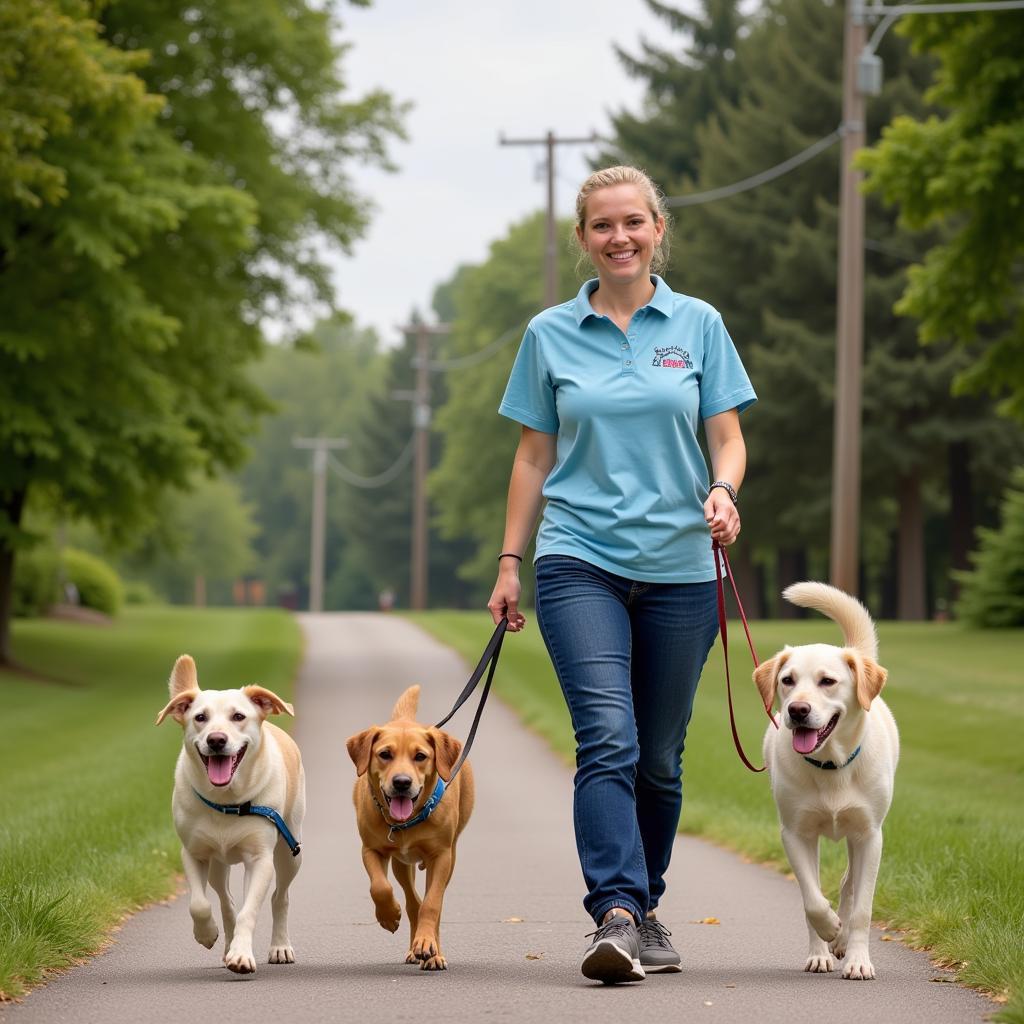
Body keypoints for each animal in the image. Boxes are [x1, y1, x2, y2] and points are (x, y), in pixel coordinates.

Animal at [151, 655, 303, 974]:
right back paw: (226, 941)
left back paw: (279, 946)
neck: (228, 801)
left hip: (290, 850)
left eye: (238, 716)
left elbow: (250, 910)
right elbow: (199, 904)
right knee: (225, 900)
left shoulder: (259, 859)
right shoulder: (193, 853)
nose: (217, 740)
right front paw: (207, 934)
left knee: (280, 896)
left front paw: (242, 955)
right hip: (217, 865)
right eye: (200, 717)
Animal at [344, 688, 471, 966]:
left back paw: (431, 950)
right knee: (413, 902)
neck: (407, 821)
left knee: (430, 902)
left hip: (451, 856)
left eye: (420, 756)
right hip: (402, 864)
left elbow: (433, 903)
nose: (402, 782)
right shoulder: (371, 850)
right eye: (385, 754)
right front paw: (389, 915)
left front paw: (427, 945)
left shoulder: (442, 855)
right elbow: (380, 887)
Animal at [753, 585, 897, 974]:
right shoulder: (795, 834)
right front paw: (828, 931)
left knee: (849, 884)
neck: (831, 766)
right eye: (787, 680)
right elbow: (812, 899)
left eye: (827, 681)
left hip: (857, 836)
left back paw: (844, 941)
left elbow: (862, 908)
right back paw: (825, 947)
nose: (797, 710)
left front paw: (857, 959)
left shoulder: (870, 836)